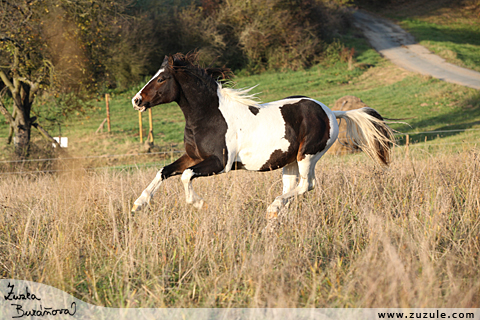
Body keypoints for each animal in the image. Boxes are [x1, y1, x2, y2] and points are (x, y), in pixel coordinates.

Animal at [131, 53, 394, 218]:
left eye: (162, 78)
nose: (136, 101)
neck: (210, 116)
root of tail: (331, 111)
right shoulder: (193, 157)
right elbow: (164, 171)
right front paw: (138, 204)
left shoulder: (220, 163)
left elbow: (185, 176)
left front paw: (199, 204)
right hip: (289, 163)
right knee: (294, 187)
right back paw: (275, 215)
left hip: (307, 156)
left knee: (307, 185)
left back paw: (273, 207)